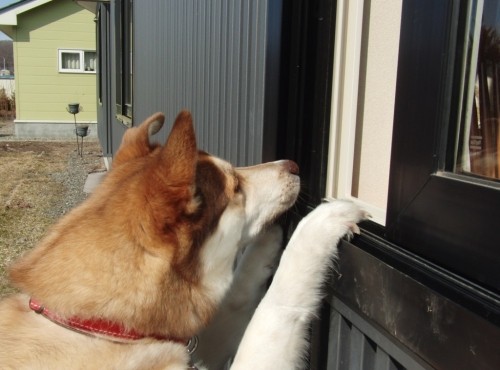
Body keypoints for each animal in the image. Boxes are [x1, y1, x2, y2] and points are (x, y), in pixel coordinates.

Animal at [0, 111, 368, 368]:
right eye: (236, 187)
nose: (292, 164)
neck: (97, 324)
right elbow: (274, 307)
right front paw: (322, 221)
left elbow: (237, 296)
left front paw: (268, 241)